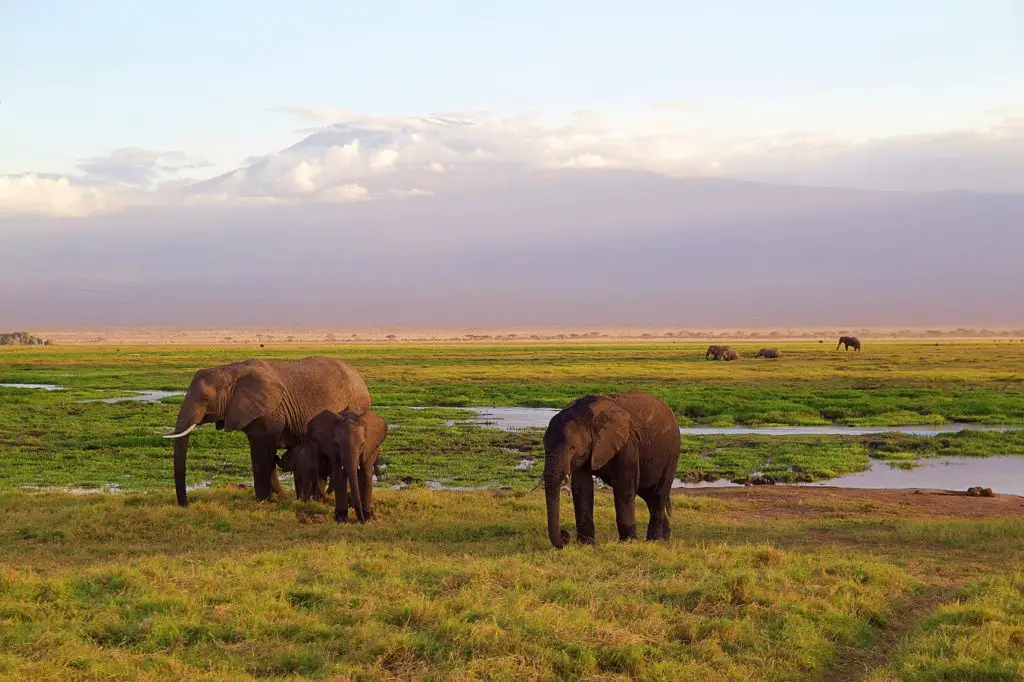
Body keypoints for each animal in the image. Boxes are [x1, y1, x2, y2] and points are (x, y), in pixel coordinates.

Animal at [159, 356, 368, 503]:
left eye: (204, 399)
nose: (185, 504)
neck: (231, 371)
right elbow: (261, 454)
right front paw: (276, 498)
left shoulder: (269, 412)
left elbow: (262, 454)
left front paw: (263, 501)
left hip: (356, 406)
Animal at [544, 387, 679, 548]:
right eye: (544, 446)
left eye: (573, 448)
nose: (565, 536)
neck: (586, 414)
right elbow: (582, 487)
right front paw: (586, 545)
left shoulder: (627, 444)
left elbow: (623, 487)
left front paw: (628, 543)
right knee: (648, 494)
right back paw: (665, 538)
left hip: (672, 451)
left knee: (658, 494)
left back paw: (654, 541)